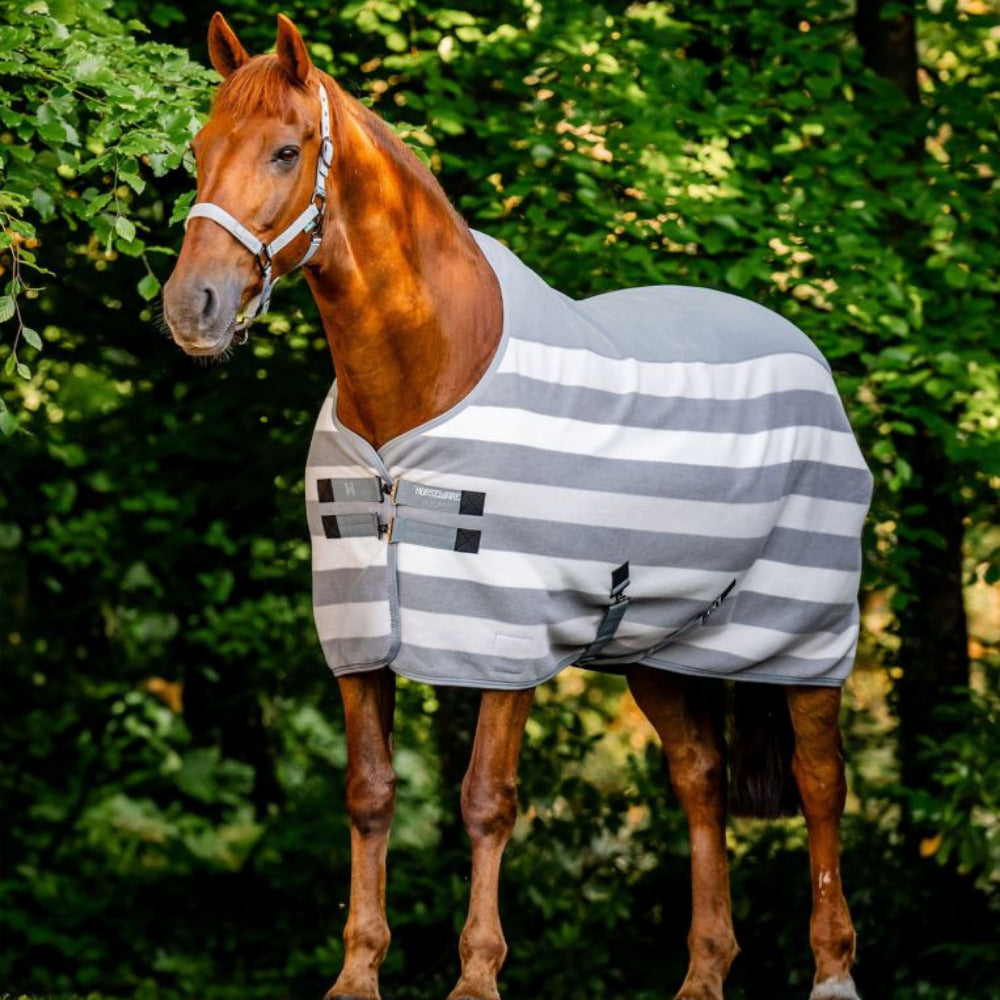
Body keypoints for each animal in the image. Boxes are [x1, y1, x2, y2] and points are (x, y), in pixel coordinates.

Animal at [163, 14, 871, 1000]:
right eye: (198, 149)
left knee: (819, 782)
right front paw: (357, 973)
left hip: (805, 628)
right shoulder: (357, 635)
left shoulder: (508, 638)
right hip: (659, 643)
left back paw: (834, 969)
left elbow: (485, 800)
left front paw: (477, 976)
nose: (191, 307)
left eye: (285, 150)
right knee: (701, 778)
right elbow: (370, 793)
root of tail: (804, 350)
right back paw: (702, 972)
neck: (422, 385)